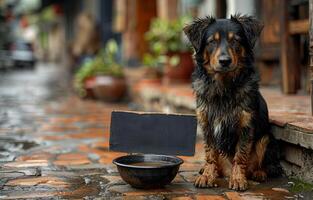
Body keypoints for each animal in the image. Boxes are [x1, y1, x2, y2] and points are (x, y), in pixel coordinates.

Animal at [183, 14, 280, 191]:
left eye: (235, 40)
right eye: (211, 42)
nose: (224, 61)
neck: (223, 87)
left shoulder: (245, 125)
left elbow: (240, 155)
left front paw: (238, 179)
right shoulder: (207, 124)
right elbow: (210, 154)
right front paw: (208, 175)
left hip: (266, 138)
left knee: (265, 165)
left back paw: (259, 173)